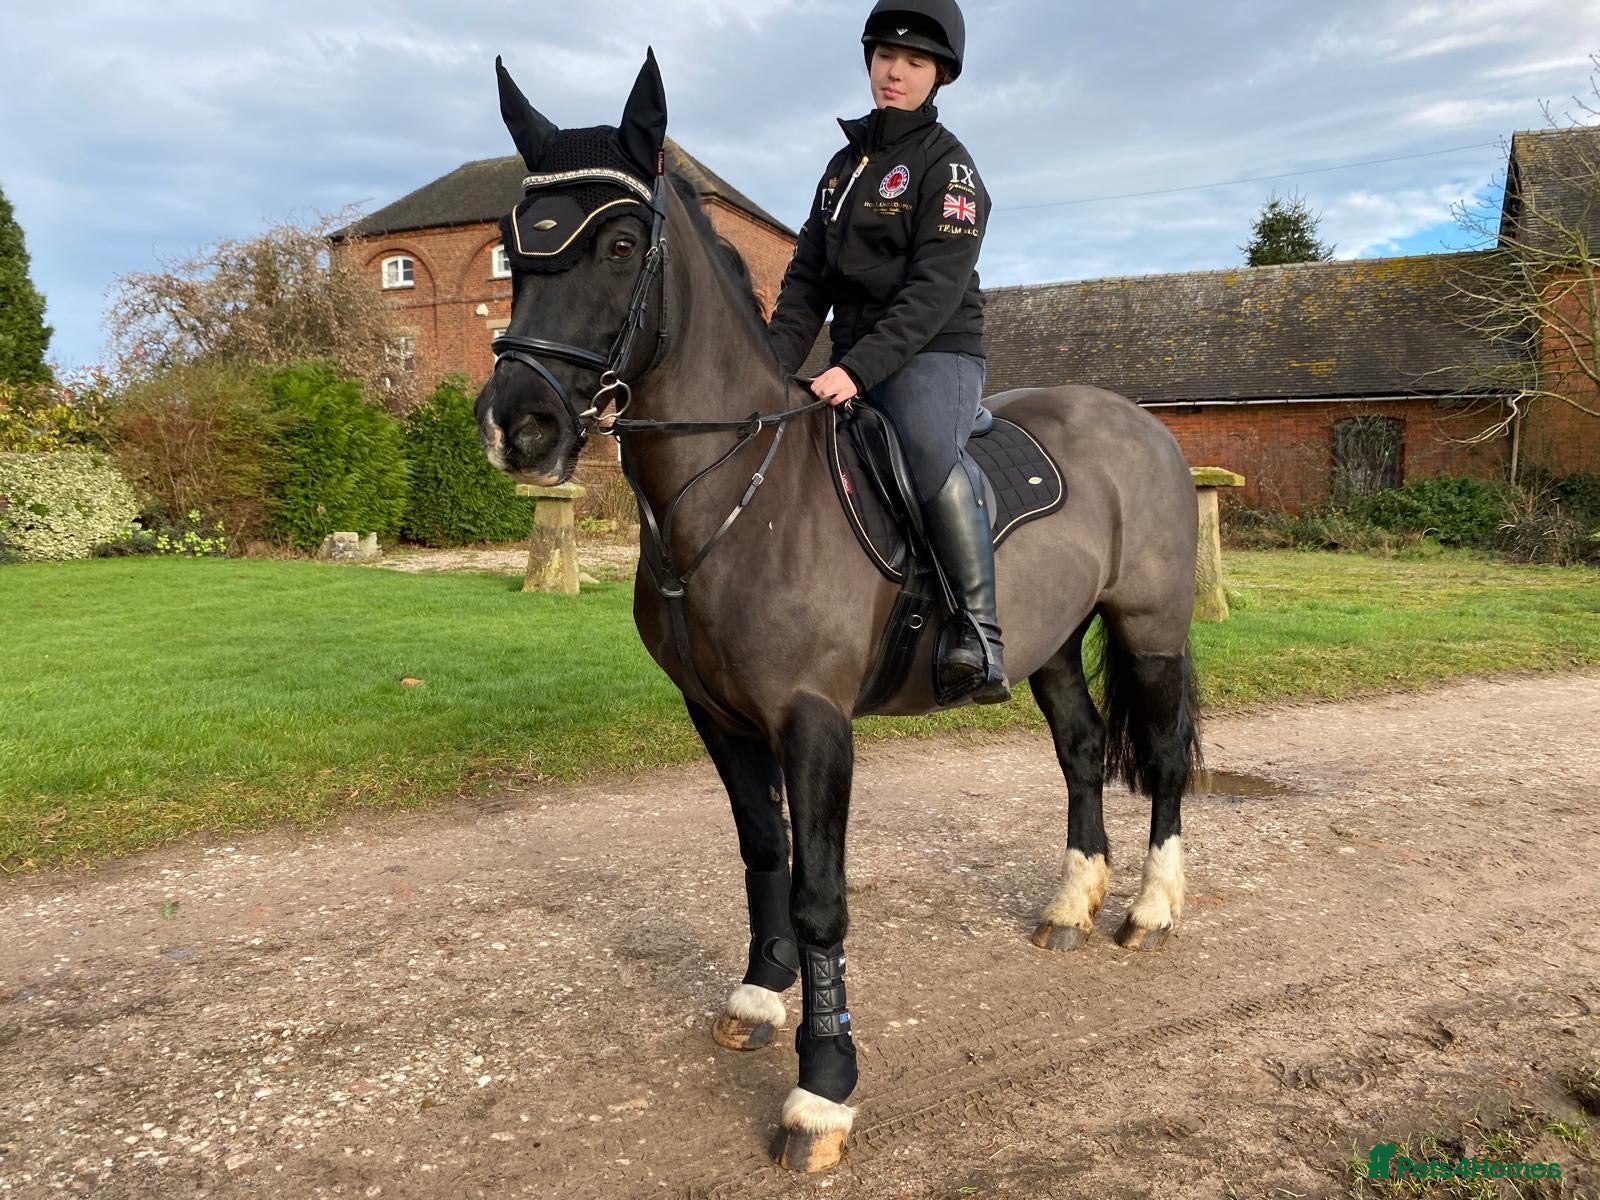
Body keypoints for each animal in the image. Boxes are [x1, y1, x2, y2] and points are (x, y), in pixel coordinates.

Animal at [475, 50, 1203, 1173]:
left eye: (621, 243)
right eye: (516, 248)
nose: (520, 427)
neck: (741, 492)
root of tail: (1141, 427)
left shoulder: (812, 720)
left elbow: (821, 896)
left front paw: (821, 1091)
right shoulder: (720, 716)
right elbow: (764, 857)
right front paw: (756, 998)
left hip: (1150, 627)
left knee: (1161, 757)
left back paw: (1152, 910)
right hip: (1048, 645)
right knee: (1083, 752)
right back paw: (1071, 904)